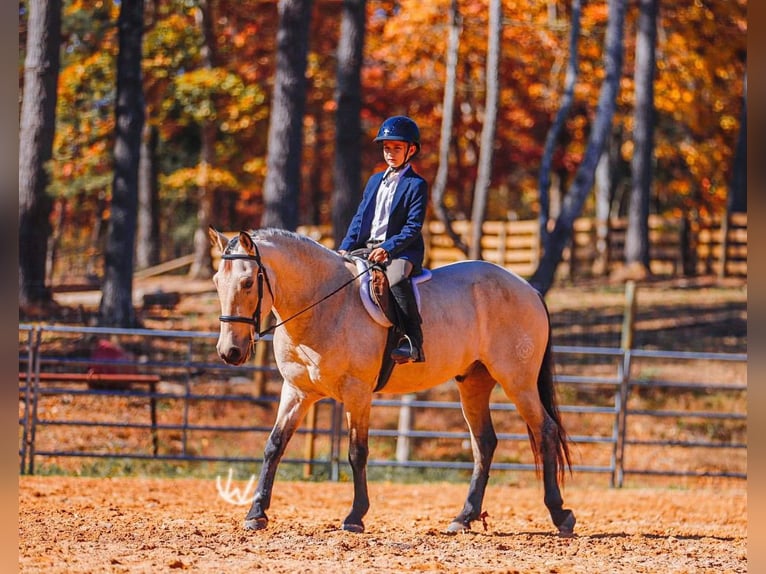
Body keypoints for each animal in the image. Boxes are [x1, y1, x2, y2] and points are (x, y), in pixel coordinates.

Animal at [208, 227, 575, 536]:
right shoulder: (297, 391)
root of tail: (527, 288)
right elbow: (274, 445)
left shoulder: (357, 393)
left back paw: (560, 515)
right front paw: (256, 513)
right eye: (216, 281)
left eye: (247, 283)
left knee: (545, 430)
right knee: (484, 443)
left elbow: (357, 452)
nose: (230, 352)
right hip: (474, 382)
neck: (324, 304)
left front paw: (355, 517)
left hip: (518, 381)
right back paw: (464, 518)